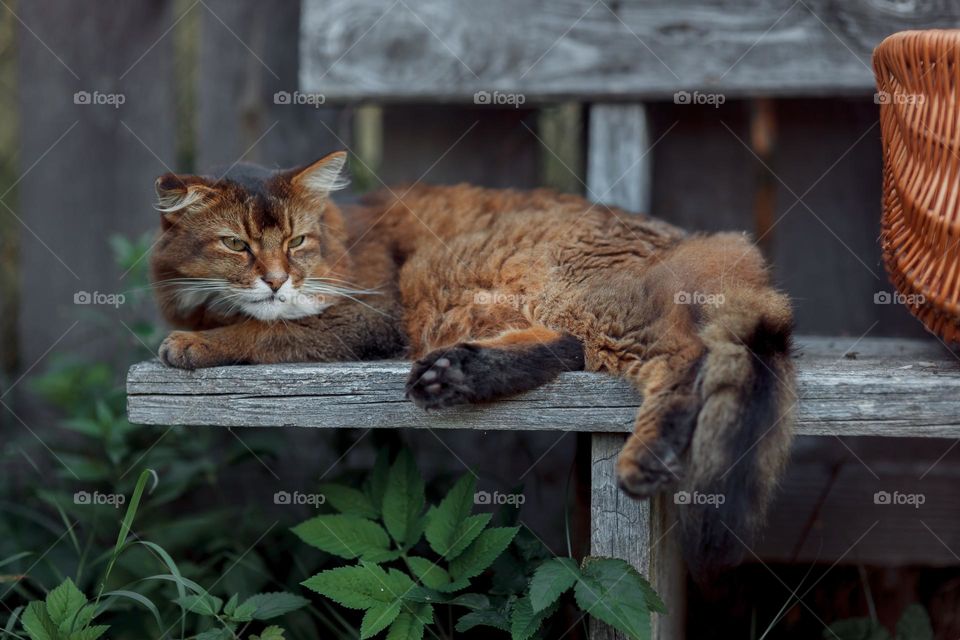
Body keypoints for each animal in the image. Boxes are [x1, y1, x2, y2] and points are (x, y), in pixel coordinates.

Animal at [150, 151, 796, 576]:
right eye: (236, 245)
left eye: (297, 242)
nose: (277, 279)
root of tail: (702, 244)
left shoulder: (369, 315)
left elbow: (266, 330)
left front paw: (197, 343)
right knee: (568, 347)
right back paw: (456, 373)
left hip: (563, 291)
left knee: (682, 357)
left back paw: (646, 456)